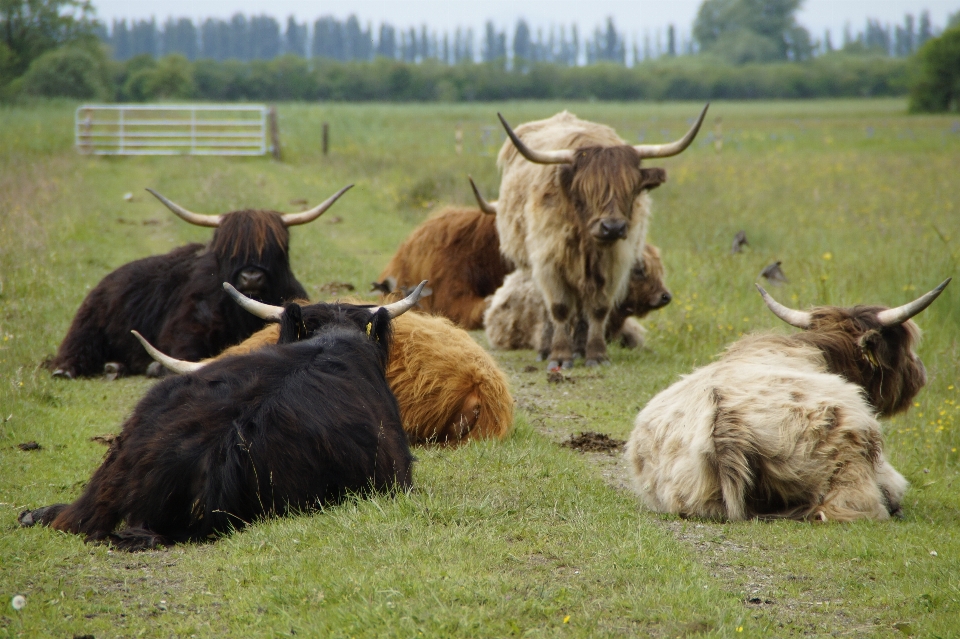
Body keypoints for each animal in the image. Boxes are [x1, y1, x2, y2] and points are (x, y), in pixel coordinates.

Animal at [47, 185, 348, 378]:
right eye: (229, 250)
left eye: (276, 249)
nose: (251, 276)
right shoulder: (186, 331)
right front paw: (157, 367)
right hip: (88, 324)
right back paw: (67, 370)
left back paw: (115, 368)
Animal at [496, 107, 704, 368]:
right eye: (585, 189)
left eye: (632, 187)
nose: (612, 228)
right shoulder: (549, 261)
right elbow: (559, 308)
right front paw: (560, 356)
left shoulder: (613, 263)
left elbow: (598, 309)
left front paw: (596, 354)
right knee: (548, 307)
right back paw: (546, 349)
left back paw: (579, 349)